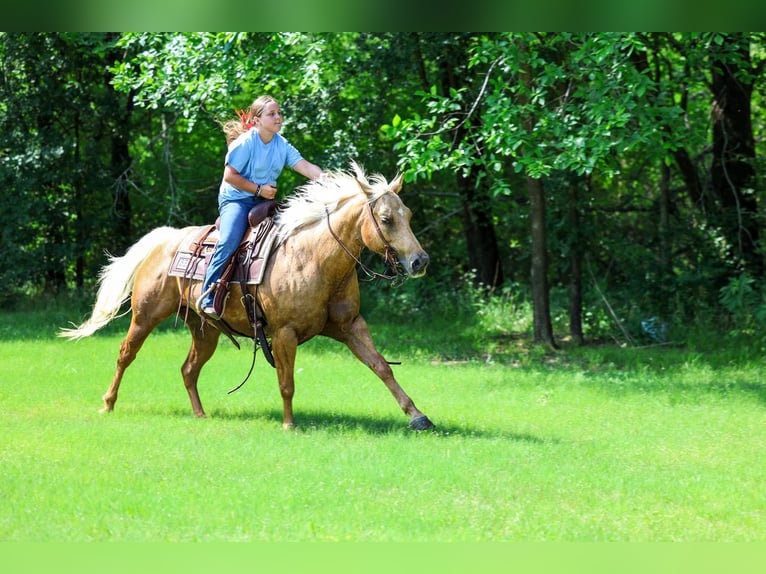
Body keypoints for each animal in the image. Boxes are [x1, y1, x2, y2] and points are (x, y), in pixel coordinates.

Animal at [60, 163, 434, 431]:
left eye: (409, 216)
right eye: (385, 219)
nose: (420, 261)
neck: (315, 258)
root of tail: (165, 240)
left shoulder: (351, 326)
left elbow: (381, 367)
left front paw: (417, 416)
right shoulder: (284, 333)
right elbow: (286, 382)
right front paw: (289, 424)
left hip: (205, 330)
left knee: (188, 369)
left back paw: (200, 415)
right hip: (146, 316)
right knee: (126, 354)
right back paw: (107, 403)